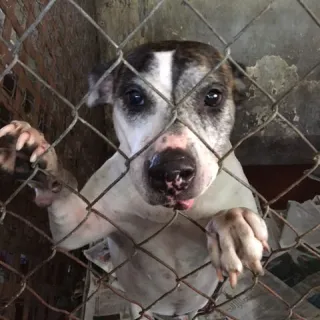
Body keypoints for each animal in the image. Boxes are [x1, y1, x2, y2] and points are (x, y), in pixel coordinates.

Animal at [0, 41, 268, 318]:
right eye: (134, 97)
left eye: (213, 96)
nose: (171, 170)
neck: (167, 214)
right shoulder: (79, 223)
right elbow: (65, 211)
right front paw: (36, 157)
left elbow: (228, 215)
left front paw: (232, 223)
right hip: (137, 303)